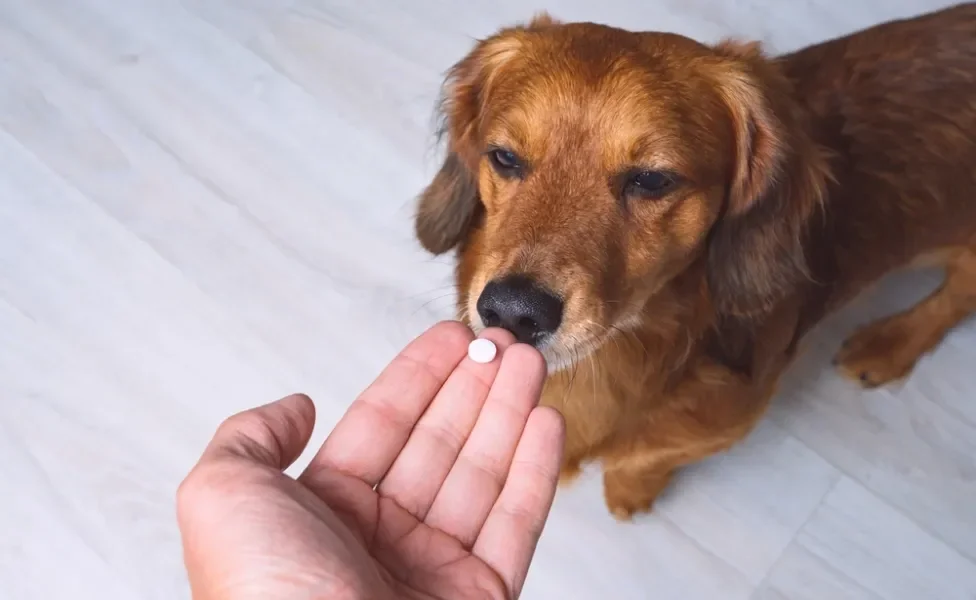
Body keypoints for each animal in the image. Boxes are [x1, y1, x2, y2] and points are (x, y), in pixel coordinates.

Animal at [412, 4, 976, 516]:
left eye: (651, 179)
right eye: (504, 157)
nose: (512, 311)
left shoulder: (729, 421)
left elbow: (645, 457)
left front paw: (631, 493)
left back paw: (891, 342)